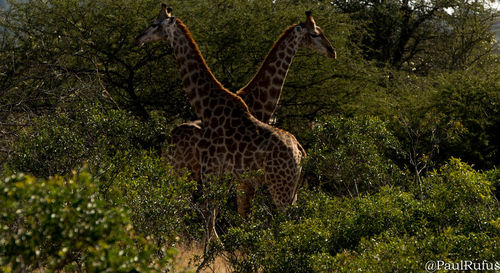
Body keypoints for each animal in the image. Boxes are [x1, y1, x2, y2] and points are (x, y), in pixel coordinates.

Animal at [137, 4, 306, 227]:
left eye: (155, 24)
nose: (138, 38)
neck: (209, 107)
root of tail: (300, 152)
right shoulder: (223, 176)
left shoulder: (215, 172)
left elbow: (213, 214)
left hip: (280, 186)